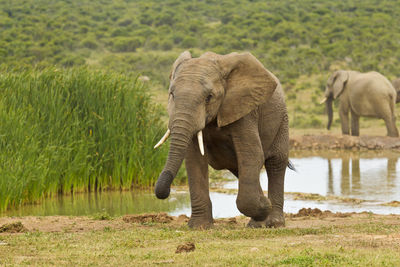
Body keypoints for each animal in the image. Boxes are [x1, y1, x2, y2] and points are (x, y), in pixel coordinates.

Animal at [152, 51, 288, 229]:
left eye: (209, 97)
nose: (165, 192)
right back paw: (257, 222)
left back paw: (273, 222)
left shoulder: (245, 110)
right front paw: (199, 227)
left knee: (276, 163)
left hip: (282, 119)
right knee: (242, 170)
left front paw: (265, 205)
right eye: (172, 95)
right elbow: (194, 160)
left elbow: (251, 154)